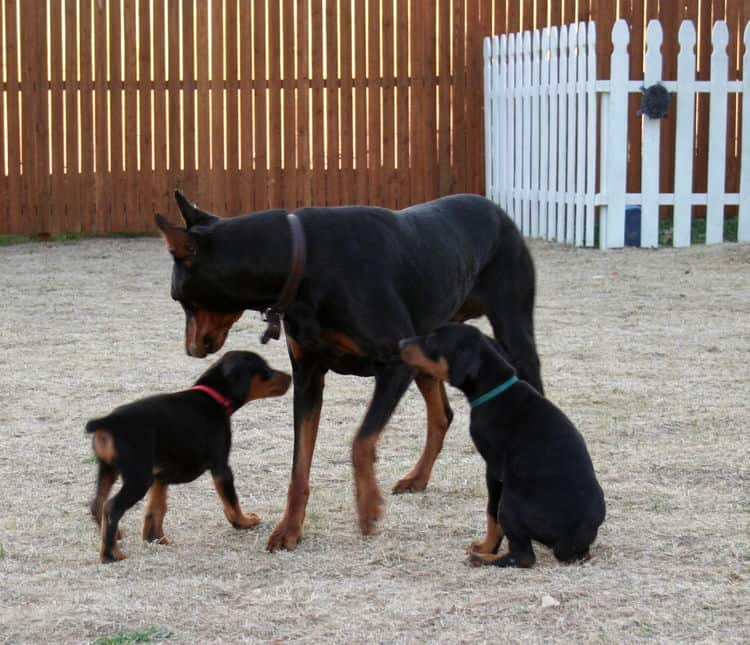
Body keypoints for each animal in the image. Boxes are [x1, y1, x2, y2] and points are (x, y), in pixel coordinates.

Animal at [85, 350, 290, 560]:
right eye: (265, 370)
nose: (291, 377)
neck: (214, 397)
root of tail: (109, 421)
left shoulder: (161, 476)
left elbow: (156, 509)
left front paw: (156, 538)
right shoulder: (221, 466)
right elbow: (232, 502)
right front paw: (244, 521)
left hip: (108, 470)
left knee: (98, 503)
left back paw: (112, 537)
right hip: (138, 478)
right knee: (111, 508)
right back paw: (111, 554)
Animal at [402, 324, 608, 568]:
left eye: (433, 340)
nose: (400, 343)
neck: (495, 389)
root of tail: (570, 538)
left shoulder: (494, 468)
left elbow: (491, 513)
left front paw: (486, 547)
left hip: (510, 501)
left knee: (523, 556)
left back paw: (482, 559)